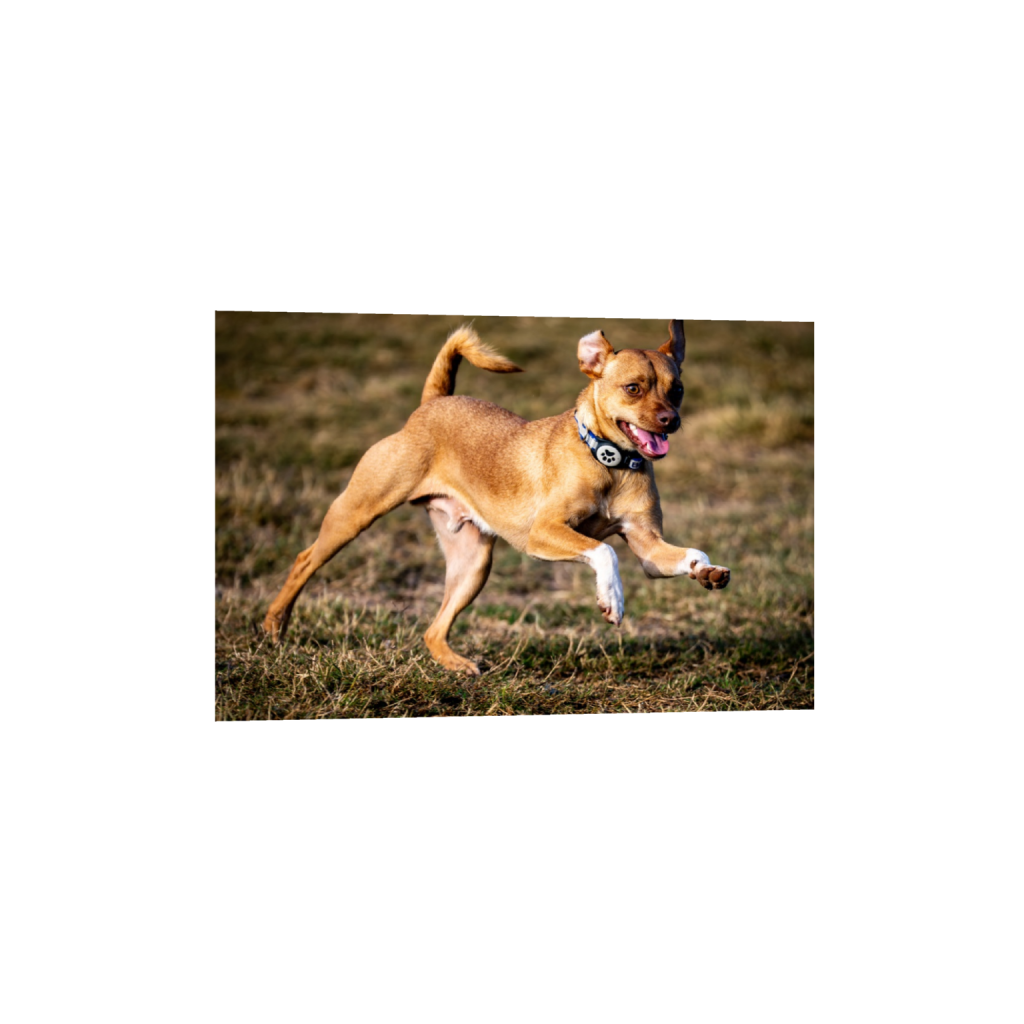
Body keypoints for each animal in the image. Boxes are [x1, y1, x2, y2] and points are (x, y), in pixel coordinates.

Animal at [263, 319, 730, 674]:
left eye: (677, 389)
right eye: (633, 388)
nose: (671, 420)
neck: (610, 462)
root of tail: (432, 403)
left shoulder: (648, 548)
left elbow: (692, 553)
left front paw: (708, 572)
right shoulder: (544, 533)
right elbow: (604, 551)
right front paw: (611, 599)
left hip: (472, 565)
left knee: (433, 630)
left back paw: (456, 665)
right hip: (356, 513)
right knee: (304, 561)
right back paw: (273, 627)